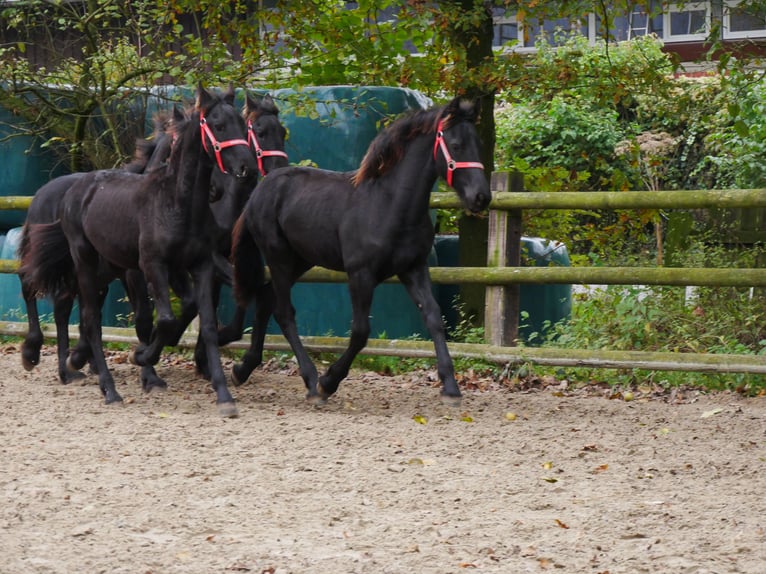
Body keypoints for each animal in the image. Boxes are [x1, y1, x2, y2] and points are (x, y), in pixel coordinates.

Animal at [18, 85, 256, 418]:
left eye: (243, 126)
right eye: (219, 125)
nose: (246, 167)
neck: (176, 204)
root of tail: (74, 190)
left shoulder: (199, 265)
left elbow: (206, 324)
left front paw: (224, 395)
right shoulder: (150, 266)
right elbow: (162, 319)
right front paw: (143, 358)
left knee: (68, 308)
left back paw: (72, 368)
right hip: (85, 261)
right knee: (86, 318)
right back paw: (105, 387)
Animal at [231, 97, 492, 408]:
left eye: (478, 142)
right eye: (456, 144)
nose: (481, 197)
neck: (390, 204)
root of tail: (263, 188)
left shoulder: (414, 268)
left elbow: (433, 318)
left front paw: (451, 387)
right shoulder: (360, 275)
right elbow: (360, 332)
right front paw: (328, 383)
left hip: (301, 260)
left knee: (266, 298)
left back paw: (243, 369)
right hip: (278, 257)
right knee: (283, 312)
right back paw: (311, 380)